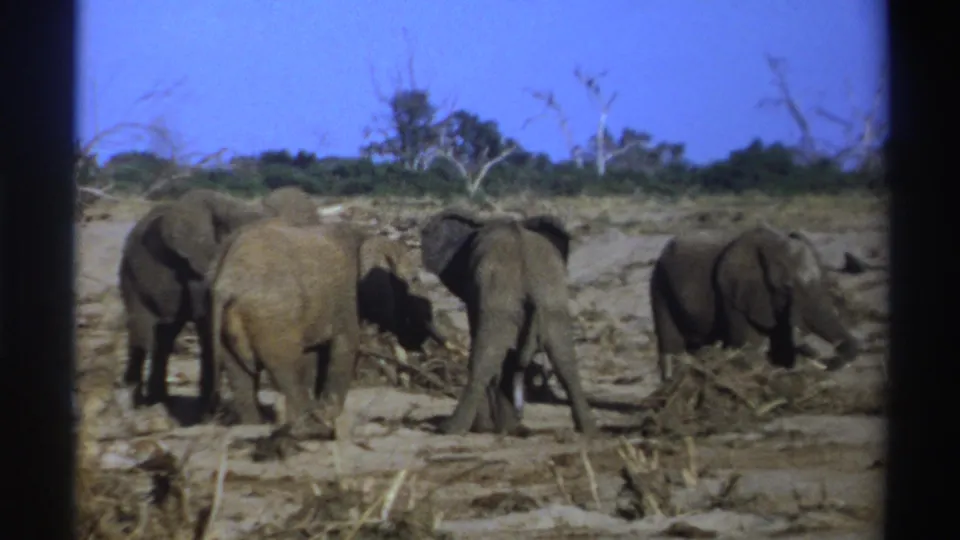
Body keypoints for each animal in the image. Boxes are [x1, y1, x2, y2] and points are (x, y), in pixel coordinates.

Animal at [118, 188, 266, 410]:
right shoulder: (195, 267)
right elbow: (205, 322)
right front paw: (207, 411)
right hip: (131, 275)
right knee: (142, 333)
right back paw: (136, 403)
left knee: (164, 336)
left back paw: (158, 400)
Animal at [208, 220, 445, 439]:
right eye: (413, 279)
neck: (365, 237)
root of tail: (228, 284)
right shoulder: (347, 300)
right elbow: (346, 347)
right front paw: (328, 413)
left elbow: (314, 357)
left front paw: (321, 411)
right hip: (273, 318)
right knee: (285, 368)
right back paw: (313, 428)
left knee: (240, 375)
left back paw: (256, 424)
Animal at [419, 208, 598, 437]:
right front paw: (507, 426)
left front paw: (493, 427)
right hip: (551, 302)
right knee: (565, 360)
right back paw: (588, 430)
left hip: (503, 301)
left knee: (485, 358)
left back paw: (451, 429)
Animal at [649, 224, 861, 384]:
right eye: (786, 287)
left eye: (823, 279)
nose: (816, 353)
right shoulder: (733, 294)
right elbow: (747, 345)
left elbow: (781, 348)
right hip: (660, 286)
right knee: (672, 346)